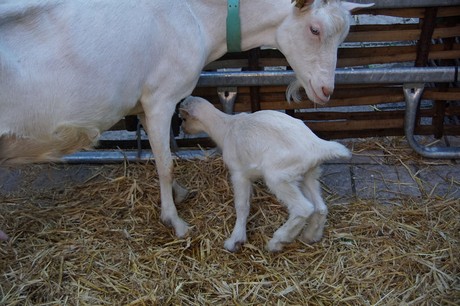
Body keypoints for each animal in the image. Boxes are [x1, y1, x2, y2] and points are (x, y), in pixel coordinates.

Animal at [0, 0, 370, 238]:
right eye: (314, 29)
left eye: (344, 36)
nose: (326, 90)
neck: (196, 15)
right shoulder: (161, 98)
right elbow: (166, 163)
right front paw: (175, 222)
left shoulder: (146, 103)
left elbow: (163, 154)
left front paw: (178, 195)